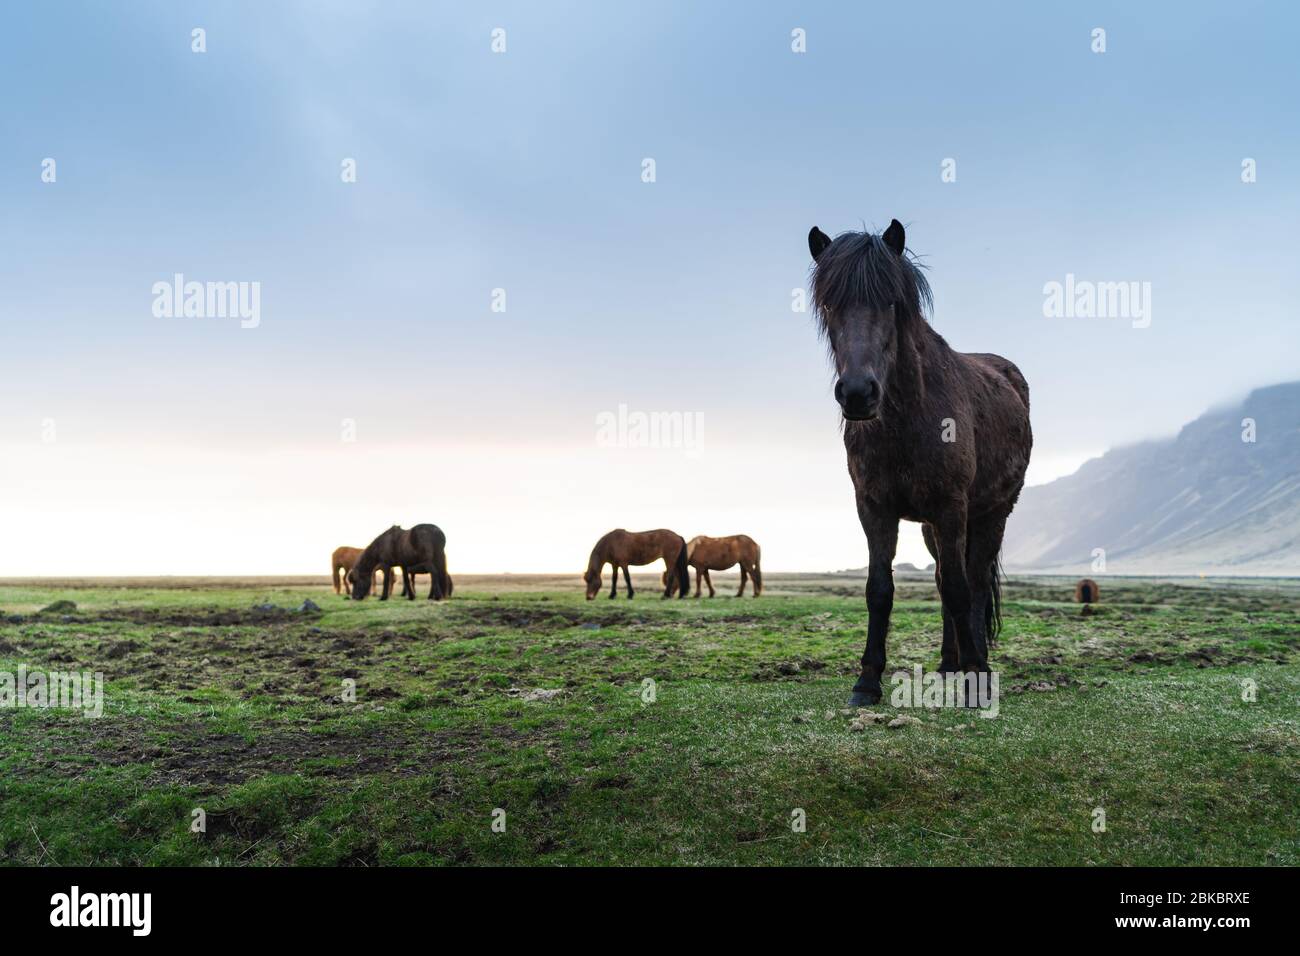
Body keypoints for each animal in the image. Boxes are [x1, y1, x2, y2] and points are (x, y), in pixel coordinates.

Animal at [806, 221, 1029, 707]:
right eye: (830, 304)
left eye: (891, 301)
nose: (857, 393)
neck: (909, 418)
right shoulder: (874, 508)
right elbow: (880, 590)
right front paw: (867, 681)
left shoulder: (952, 507)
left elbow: (963, 590)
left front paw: (977, 677)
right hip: (932, 528)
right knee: (945, 579)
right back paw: (949, 664)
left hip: (991, 515)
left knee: (973, 583)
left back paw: (974, 664)